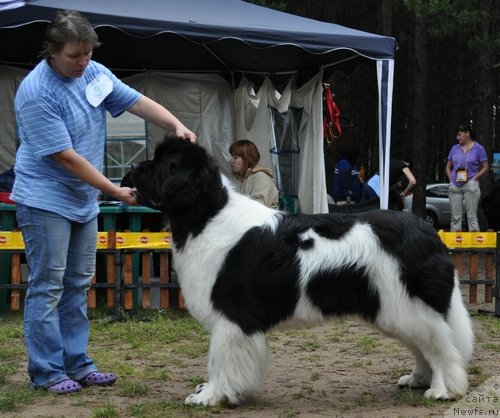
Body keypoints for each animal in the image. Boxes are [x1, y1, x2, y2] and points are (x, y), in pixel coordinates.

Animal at [129, 139, 472, 406]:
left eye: (160, 164)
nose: (131, 169)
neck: (206, 214)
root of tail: (428, 232)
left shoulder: (232, 315)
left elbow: (220, 359)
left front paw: (211, 396)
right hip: (394, 308)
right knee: (424, 346)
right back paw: (417, 379)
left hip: (408, 306)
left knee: (441, 347)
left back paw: (443, 389)